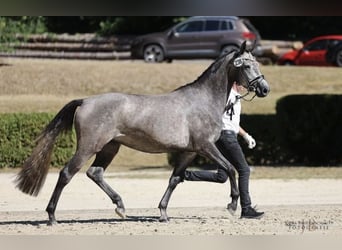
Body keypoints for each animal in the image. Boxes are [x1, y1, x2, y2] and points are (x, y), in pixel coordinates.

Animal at [14, 41, 270, 225]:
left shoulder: (188, 152)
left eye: (257, 64)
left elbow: (175, 179)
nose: (264, 89)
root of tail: (85, 101)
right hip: (89, 146)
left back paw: (120, 207)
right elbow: (230, 169)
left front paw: (163, 213)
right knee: (67, 174)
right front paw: (232, 206)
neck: (203, 100)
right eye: (247, 65)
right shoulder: (205, 146)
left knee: (95, 173)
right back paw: (52, 216)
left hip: (110, 147)